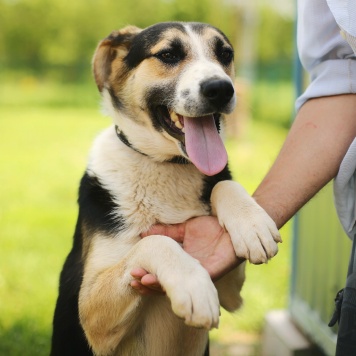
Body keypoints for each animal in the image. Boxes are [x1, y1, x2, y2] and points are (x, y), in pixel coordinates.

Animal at [50, 22, 280, 356]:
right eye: (168, 54)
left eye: (225, 54)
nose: (221, 89)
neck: (166, 166)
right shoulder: (91, 312)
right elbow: (154, 242)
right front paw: (192, 285)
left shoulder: (232, 293)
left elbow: (223, 183)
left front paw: (252, 223)